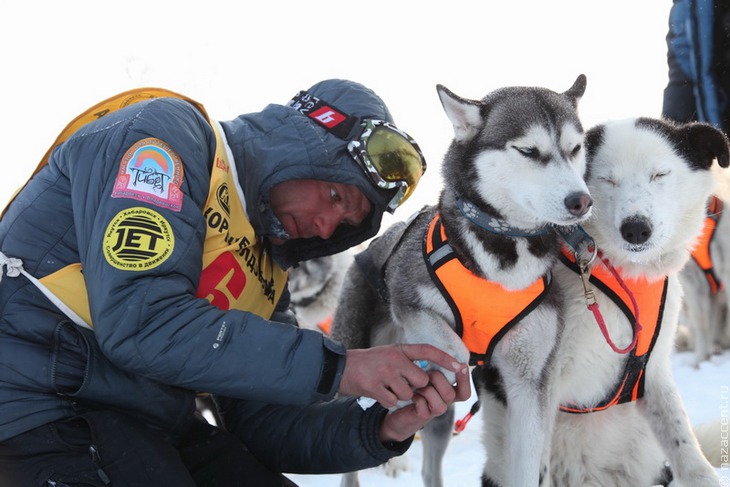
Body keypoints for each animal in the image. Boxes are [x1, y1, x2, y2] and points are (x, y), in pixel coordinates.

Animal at [330, 76, 592, 487]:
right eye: (528, 151)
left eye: (575, 148)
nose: (581, 200)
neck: (503, 252)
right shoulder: (409, 302)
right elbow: (453, 349)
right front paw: (438, 367)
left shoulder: (529, 383)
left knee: (429, 466)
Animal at [548, 118, 724, 487]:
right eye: (607, 179)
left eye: (660, 174)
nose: (636, 229)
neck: (624, 275)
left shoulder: (654, 372)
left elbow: (685, 444)